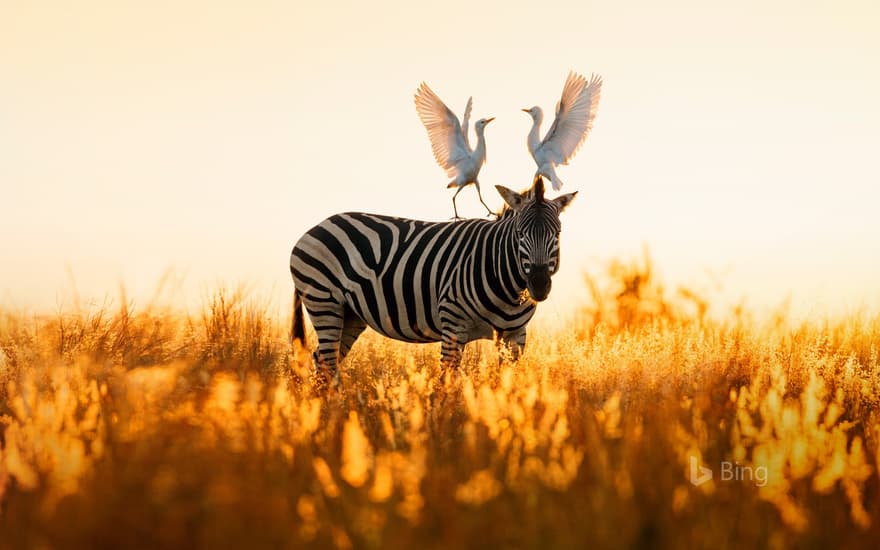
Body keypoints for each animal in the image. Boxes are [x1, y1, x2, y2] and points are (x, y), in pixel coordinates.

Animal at [288, 178, 576, 384]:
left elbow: (508, 388)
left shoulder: (515, 337)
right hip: (324, 302)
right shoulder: (453, 324)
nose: (539, 284)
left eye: (558, 233)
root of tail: (317, 226)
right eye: (519, 234)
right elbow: (446, 383)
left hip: (350, 315)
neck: (509, 288)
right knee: (326, 364)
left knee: (322, 361)